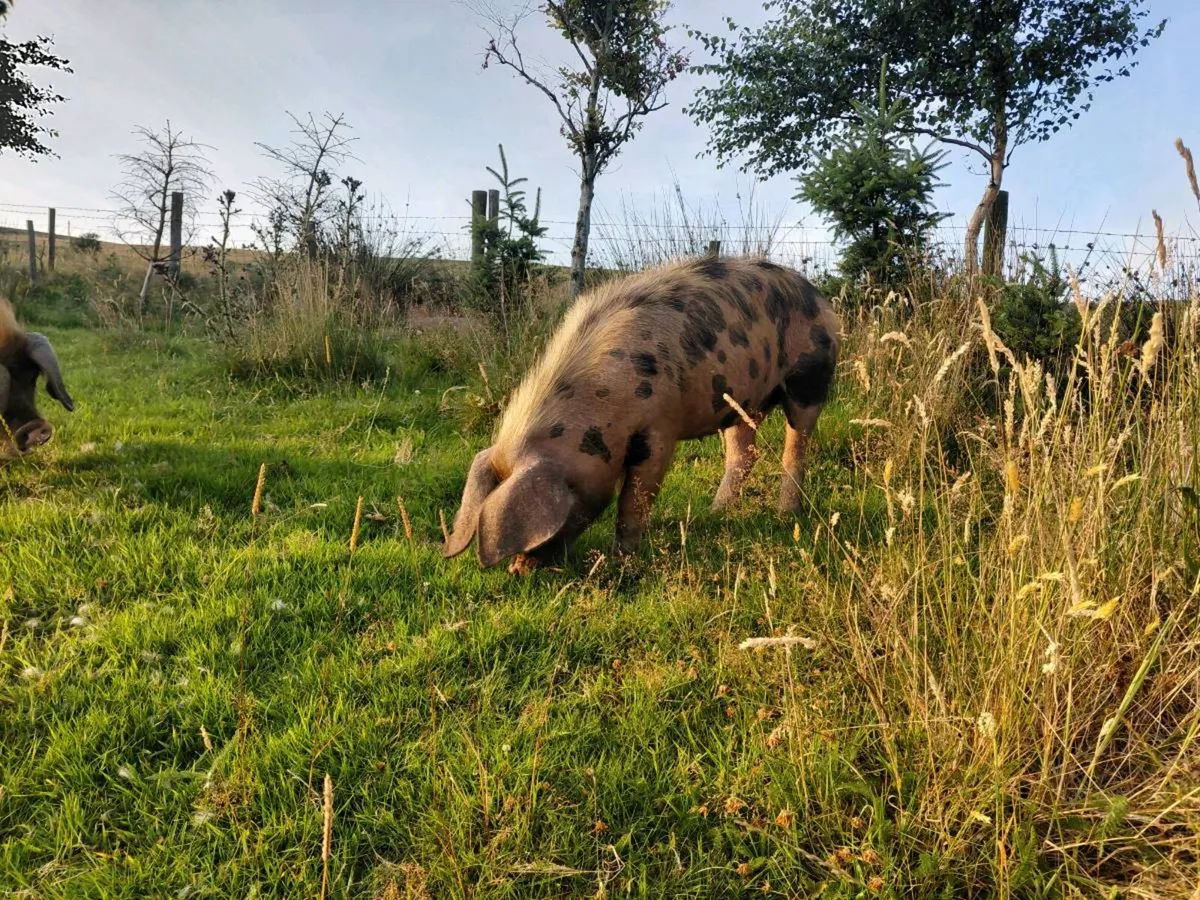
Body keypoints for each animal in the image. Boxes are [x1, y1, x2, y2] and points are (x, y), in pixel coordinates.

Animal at [442, 255, 840, 573]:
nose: (519, 571)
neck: (601, 397)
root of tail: (818, 297)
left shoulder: (659, 427)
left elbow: (635, 496)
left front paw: (623, 559)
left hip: (810, 377)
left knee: (797, 443)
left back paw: (787, 512)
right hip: (738, 401)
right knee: (744, 451)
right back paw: (715, 512)